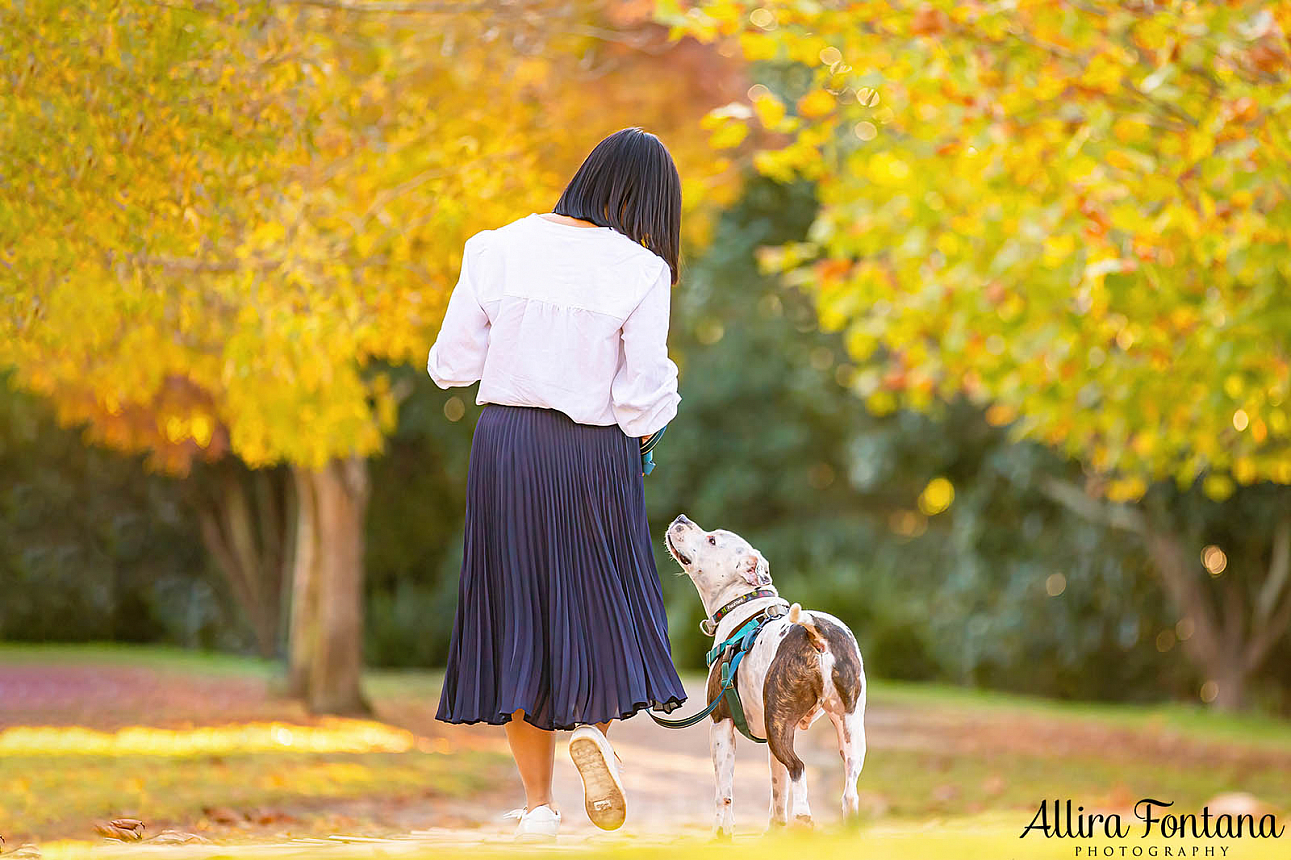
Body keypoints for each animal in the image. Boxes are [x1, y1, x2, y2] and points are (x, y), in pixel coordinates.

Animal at [666, 511, 867, 831]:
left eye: (712, 540)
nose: (681, 518)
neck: (742, 601)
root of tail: (816, 633)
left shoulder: (721, 724)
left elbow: (724, 791)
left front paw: (721, 833)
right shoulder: (772, 744)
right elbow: (777, 789)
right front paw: (774, 832)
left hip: (779, 722)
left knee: (798, 767)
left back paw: (804, 819)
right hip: (848, 729)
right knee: (848, 791)